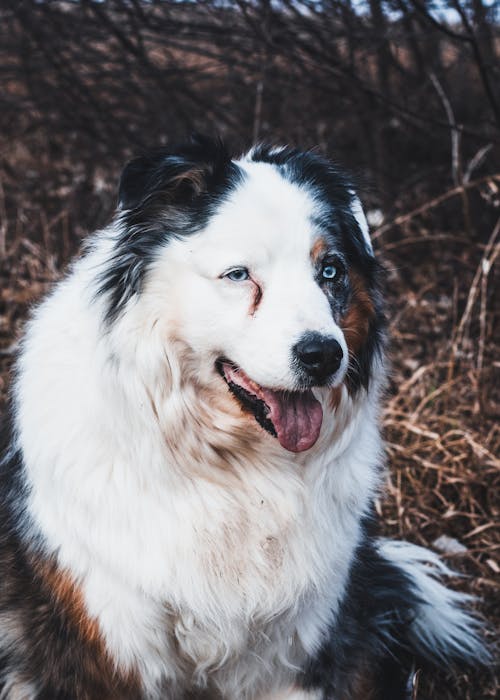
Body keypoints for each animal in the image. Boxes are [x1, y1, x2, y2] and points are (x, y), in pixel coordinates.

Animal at [0, 138, 488, 700]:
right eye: (239, 275)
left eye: (331, 271)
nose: (324, 355)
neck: (232, 467)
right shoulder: (108, 640)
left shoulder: (299, 649)